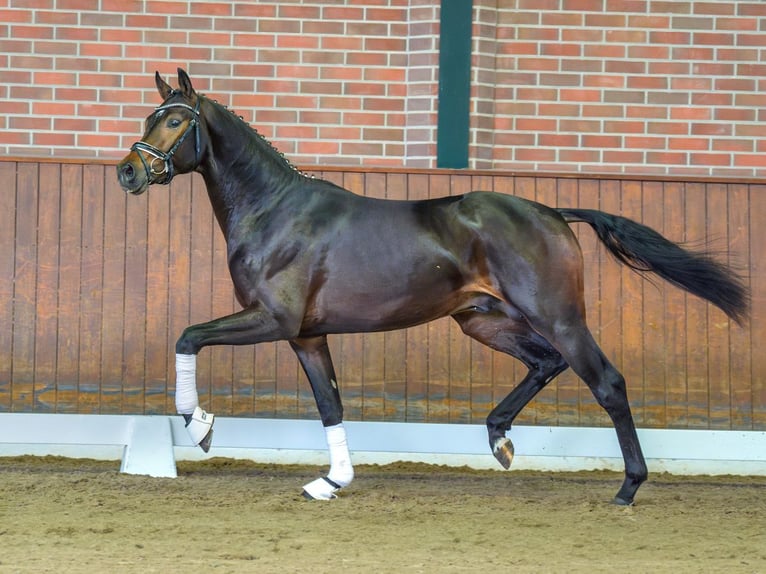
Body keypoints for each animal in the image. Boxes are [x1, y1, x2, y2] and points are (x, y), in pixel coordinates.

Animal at [117, 70, 748, 506]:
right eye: (151, 116)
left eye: (174, 120)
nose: (128, 172)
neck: (274, 212)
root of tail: (551, 212)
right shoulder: (306, 335)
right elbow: (329, 404)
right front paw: (332, 481)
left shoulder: (273, 319)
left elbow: (188, 336)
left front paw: (199, 428)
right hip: (483, 320)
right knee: (545, 364)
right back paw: (499, 440)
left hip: (558, 317)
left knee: (608, 383)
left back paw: (627, 488)